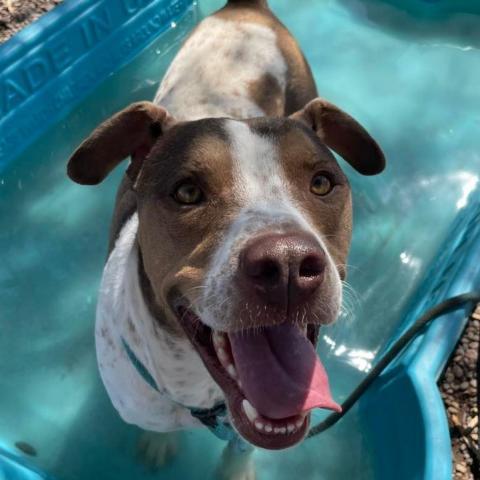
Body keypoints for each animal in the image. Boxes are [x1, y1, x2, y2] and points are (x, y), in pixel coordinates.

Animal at [65, 0, 384, 476]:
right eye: (187, 192)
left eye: (322, 183)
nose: (287, 263)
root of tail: (245, 8)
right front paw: (159, 443)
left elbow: (241, 448)